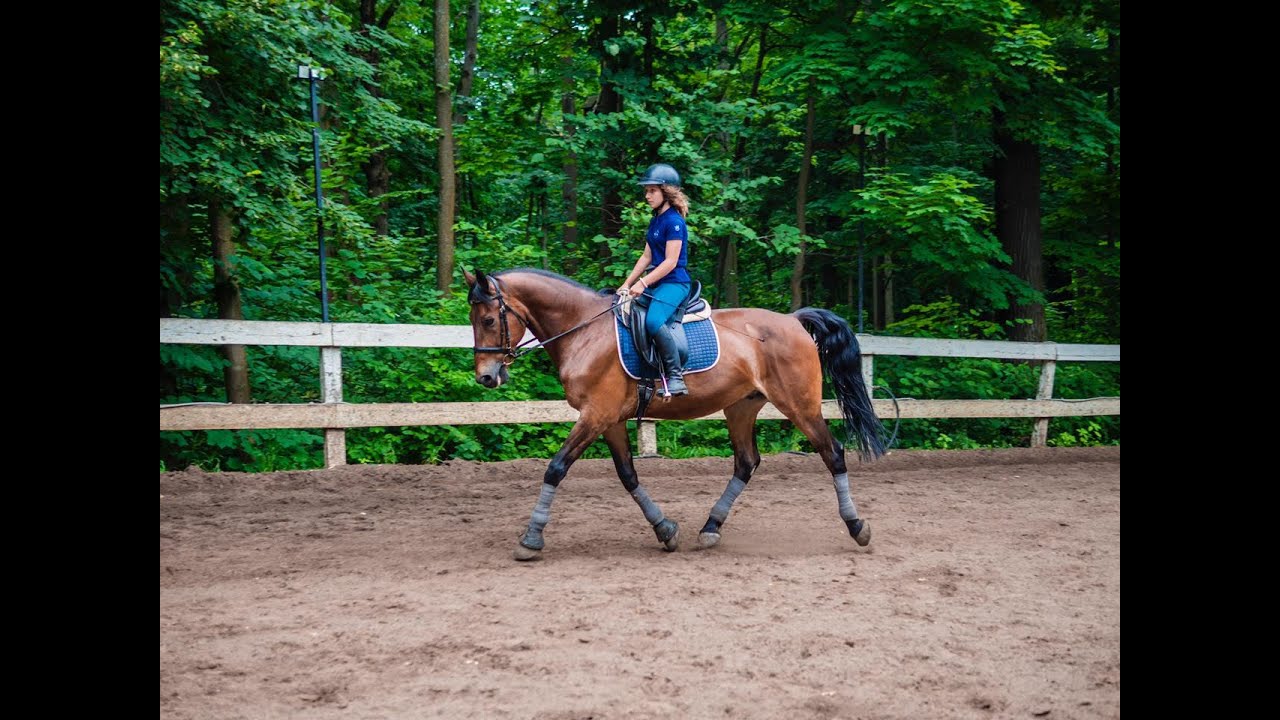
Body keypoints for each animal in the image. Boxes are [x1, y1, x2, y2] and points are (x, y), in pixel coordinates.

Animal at [465, 266, 885, 558]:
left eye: (488, 320)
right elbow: (628, 476)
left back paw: (857, 526)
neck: (583, 331)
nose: (486, 377)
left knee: (832, 453)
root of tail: (793, 320)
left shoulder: (595, 415)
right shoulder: (610, 420)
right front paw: (665, 530)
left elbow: (556, 468)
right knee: (746, 462)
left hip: (800, 404)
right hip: (741, 407)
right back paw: (711, 527)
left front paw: (531, 539)